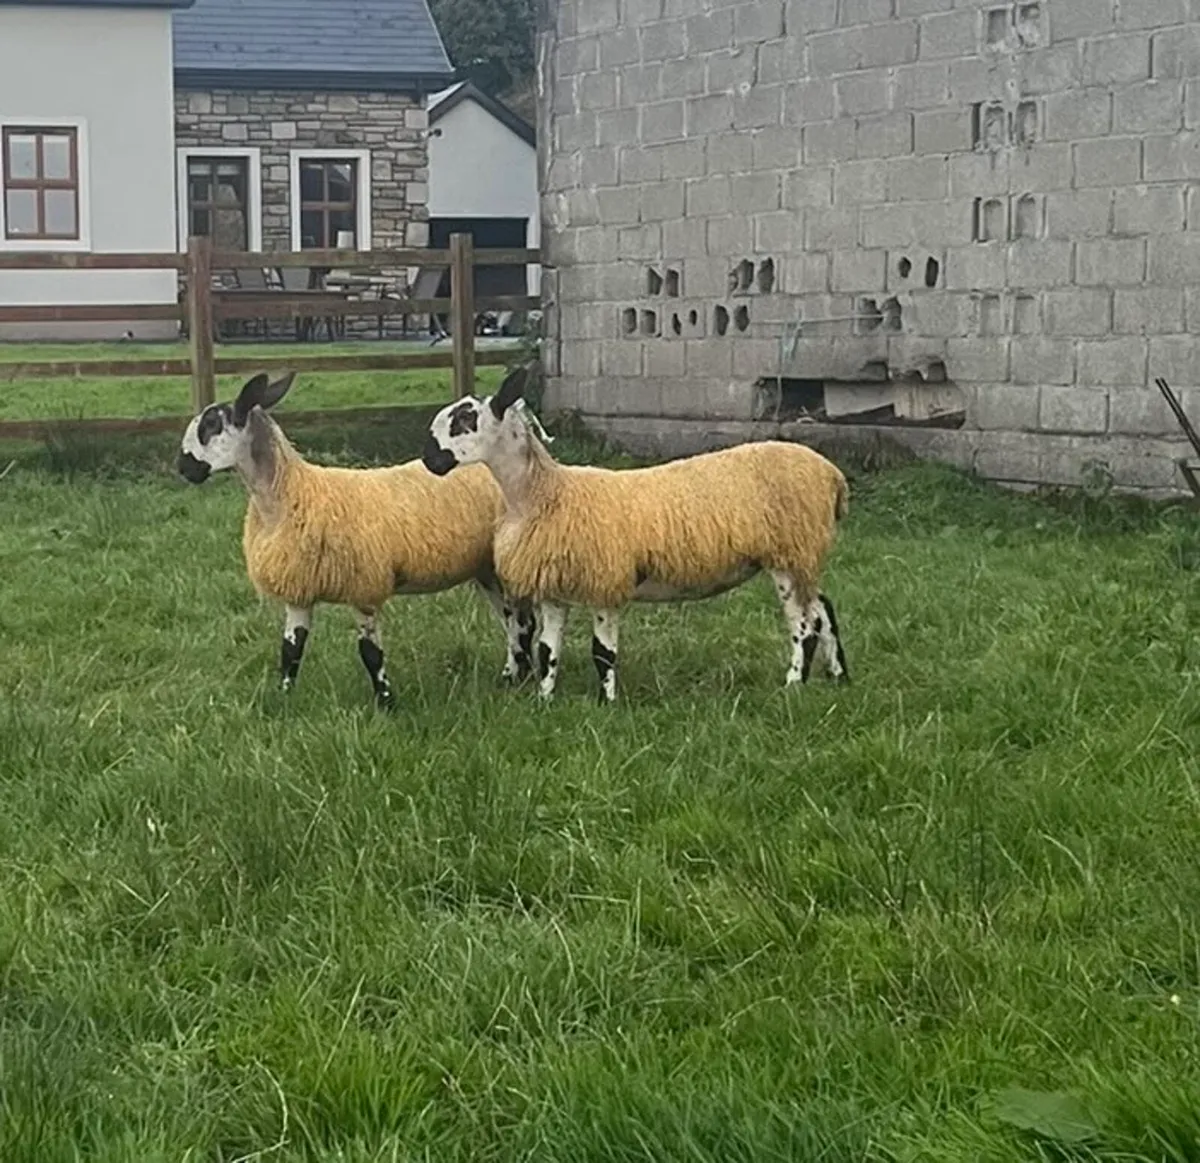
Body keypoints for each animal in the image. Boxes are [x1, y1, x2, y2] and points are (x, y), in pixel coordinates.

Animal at [177, 370, 537, 708]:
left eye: (211, 424)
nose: (183, 468)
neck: (289, 495)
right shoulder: (299, 589)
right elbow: (291, 649)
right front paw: (285, 697)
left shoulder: (364, 585)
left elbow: (370, 653)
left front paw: (386, 703)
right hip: (484, 568)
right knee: (510, 620)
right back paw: (514, 674)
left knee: (523, 622)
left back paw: (519, 677)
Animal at [421, 367, 850, 703]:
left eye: (464, 421)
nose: (428, 460)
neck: (544, 494)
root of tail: (832, 475)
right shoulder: (553, 590)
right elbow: (547, 651)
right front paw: (544, 700)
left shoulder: (607, 582)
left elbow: (602, 653)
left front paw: (605, 703)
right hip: (802, 556)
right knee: (824, 610)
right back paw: (838, 676)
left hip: (789, 553)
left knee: (803, 625)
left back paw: (793, 684)